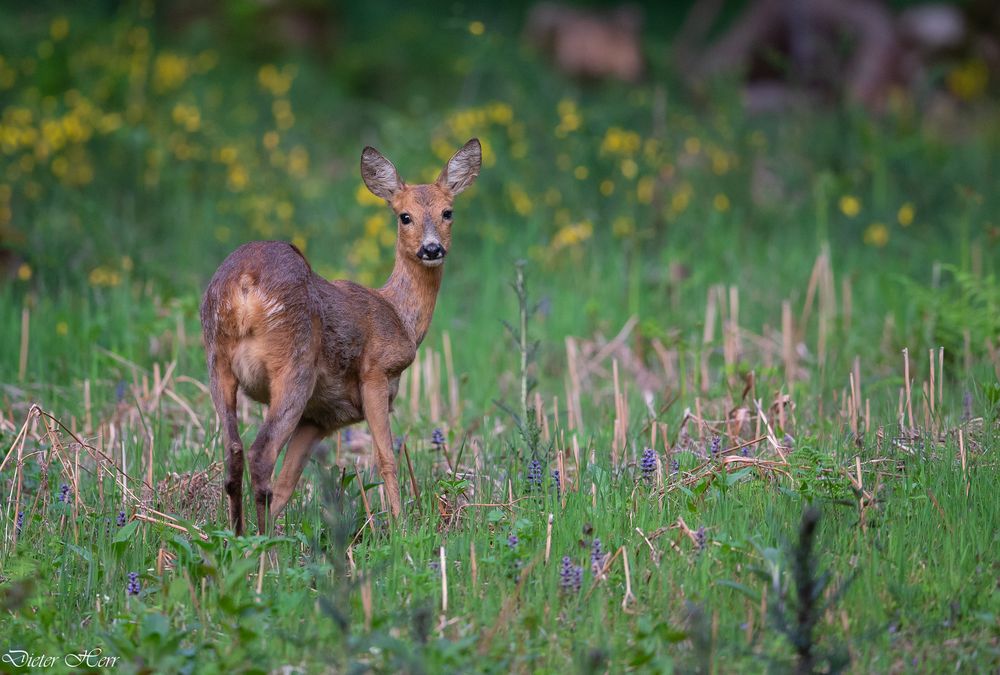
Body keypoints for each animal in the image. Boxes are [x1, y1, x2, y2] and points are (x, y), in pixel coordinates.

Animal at [199, 140, 480, 536]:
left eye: (448, 212)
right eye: (404, 216)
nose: (431, 249)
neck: (400, 316)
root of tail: (245, 284)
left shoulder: (321, 417)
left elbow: (289, 482)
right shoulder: (375, 375)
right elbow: (385, 456)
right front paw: (400, 527)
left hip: (216, 361)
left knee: (235, 451)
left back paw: (239, 536)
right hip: (294, 364)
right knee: (260, 453)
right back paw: (261, 542)